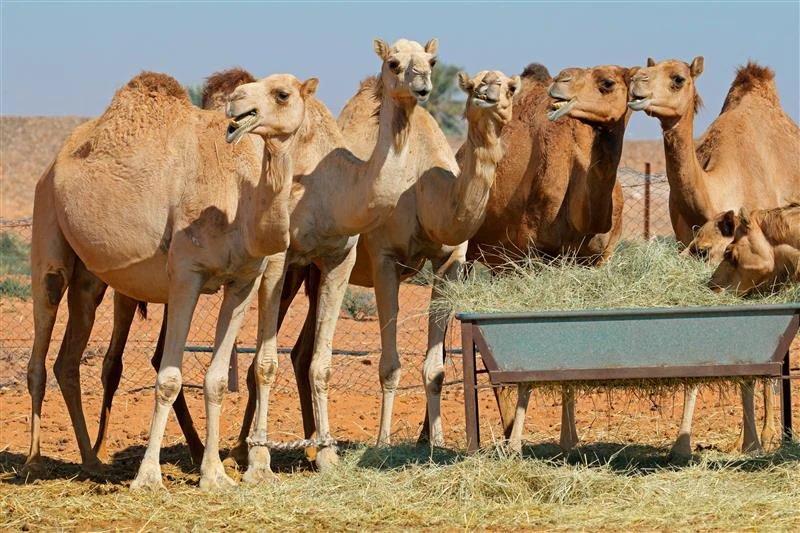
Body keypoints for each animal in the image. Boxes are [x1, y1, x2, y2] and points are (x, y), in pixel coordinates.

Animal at [25, 71, 312, 491]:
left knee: (68, 359)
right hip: (46, 223)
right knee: (42, 337)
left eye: (282, 94)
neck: (237, 201)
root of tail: (51, 166)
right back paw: (33, 463)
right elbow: (169, 377)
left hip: (89, 278)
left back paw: (92, 462)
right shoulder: (185, 277)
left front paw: (216, 474)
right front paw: (148, 477)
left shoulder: (243, 281)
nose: (239, 104)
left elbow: (217, 379)